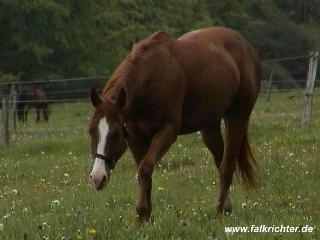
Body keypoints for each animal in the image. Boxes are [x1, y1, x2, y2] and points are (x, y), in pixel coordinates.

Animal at [87, 27, 260, 222]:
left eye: (116, 133)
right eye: (91, 131)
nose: (97, 178)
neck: (151, 78)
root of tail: (247, 47)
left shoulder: (167, 131)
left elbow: (145, 168)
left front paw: (141, 213)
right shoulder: (134, 135)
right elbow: (143, 173)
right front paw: (145, 218)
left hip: (237, 118)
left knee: (227, 167)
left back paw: (218, 213)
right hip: (210, 126)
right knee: (220, 161)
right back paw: (226, 209)